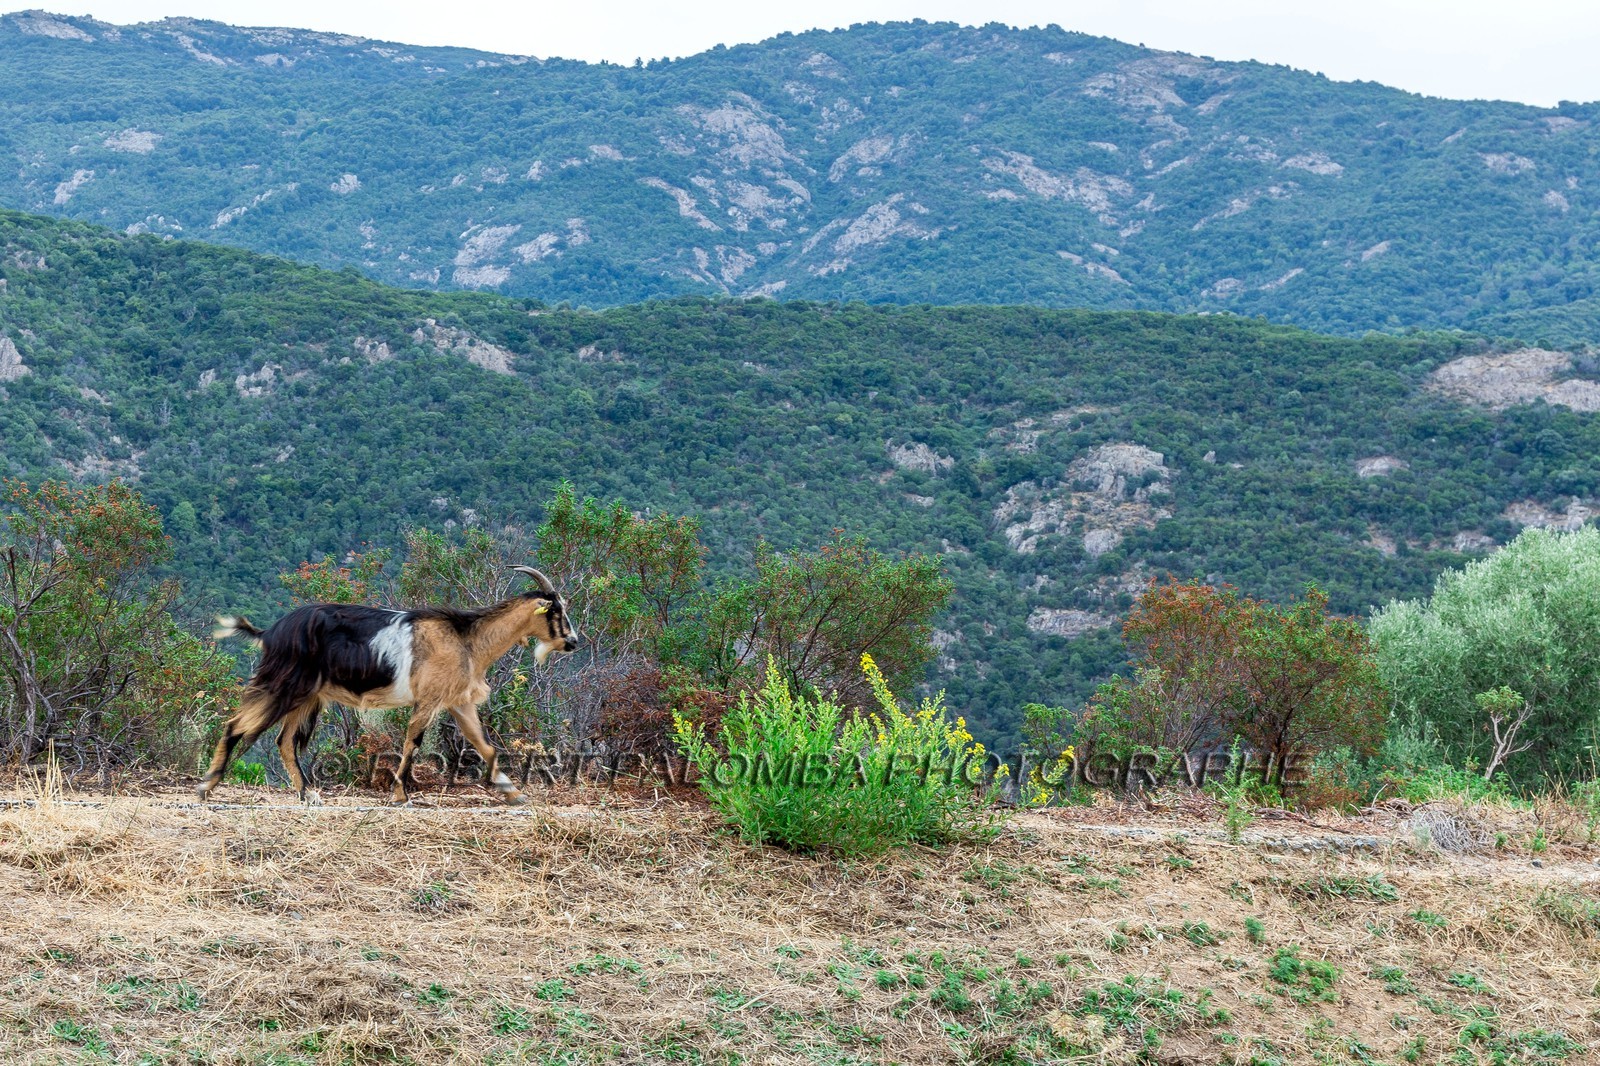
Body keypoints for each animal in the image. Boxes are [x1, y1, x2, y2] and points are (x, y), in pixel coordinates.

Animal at [197, 566, 580, 806]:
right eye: (555, 611)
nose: (574, 642)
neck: (466, 639)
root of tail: (269, 633)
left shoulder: (459, 702)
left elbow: (485, 746)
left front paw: (514, 793)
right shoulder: (429, 700)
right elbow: (413, 743)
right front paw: (400, 795)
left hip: (307, 696)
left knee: (285, 741)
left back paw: (309, 794)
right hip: (284, 685)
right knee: (236, 725)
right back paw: (206, 787)